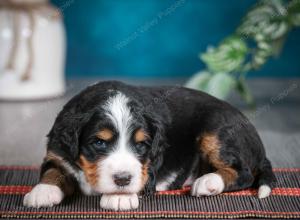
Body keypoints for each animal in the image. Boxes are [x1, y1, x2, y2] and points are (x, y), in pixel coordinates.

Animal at [23, 80, 276, 210]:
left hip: (215, 129)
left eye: (141, 145)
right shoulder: (57, 150)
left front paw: (119, 197)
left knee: (244, 173)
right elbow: (53, 170)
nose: (122, 179)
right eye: (99, 143)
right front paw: (42, 192)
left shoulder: (151, 163)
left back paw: (208, 182)